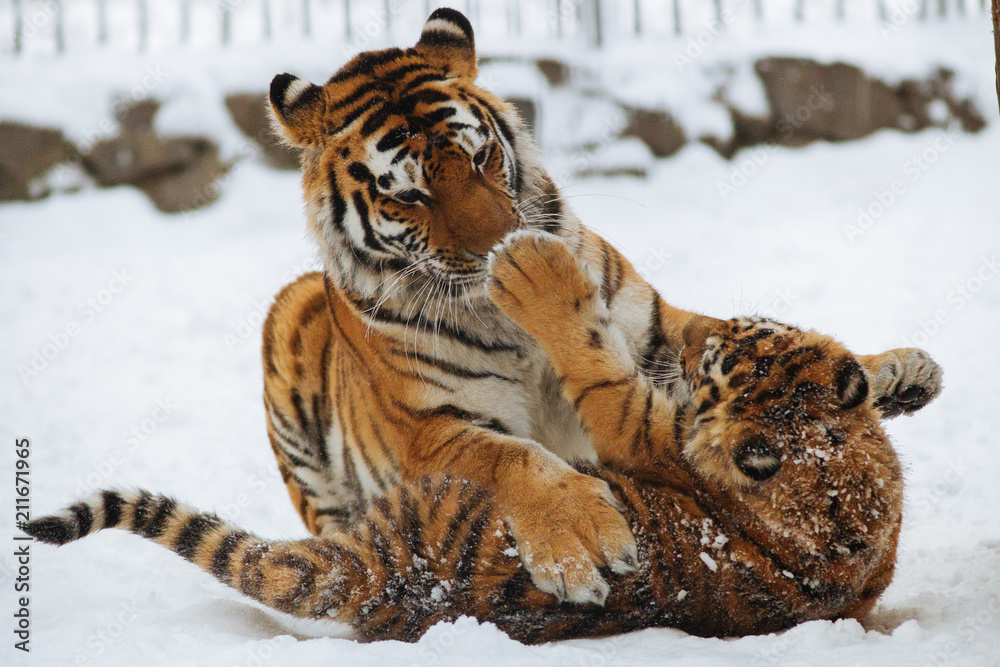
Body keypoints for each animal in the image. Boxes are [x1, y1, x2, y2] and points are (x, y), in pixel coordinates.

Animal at [24, 231, 943, 643]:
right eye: (750, 337)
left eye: (730, 362)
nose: (698, 354)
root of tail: (383, 575)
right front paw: (907, 370)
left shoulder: (647, 424)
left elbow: (594, 359)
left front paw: (534, 270)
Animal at [259, 8, 942, 605]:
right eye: (410, 196)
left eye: (480, 157)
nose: (499, 246)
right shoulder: (431, 429)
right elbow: (511, 457)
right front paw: (581, 540)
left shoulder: (652, 330)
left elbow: (724, 335)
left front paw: (896, 371)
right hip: (289, 324)